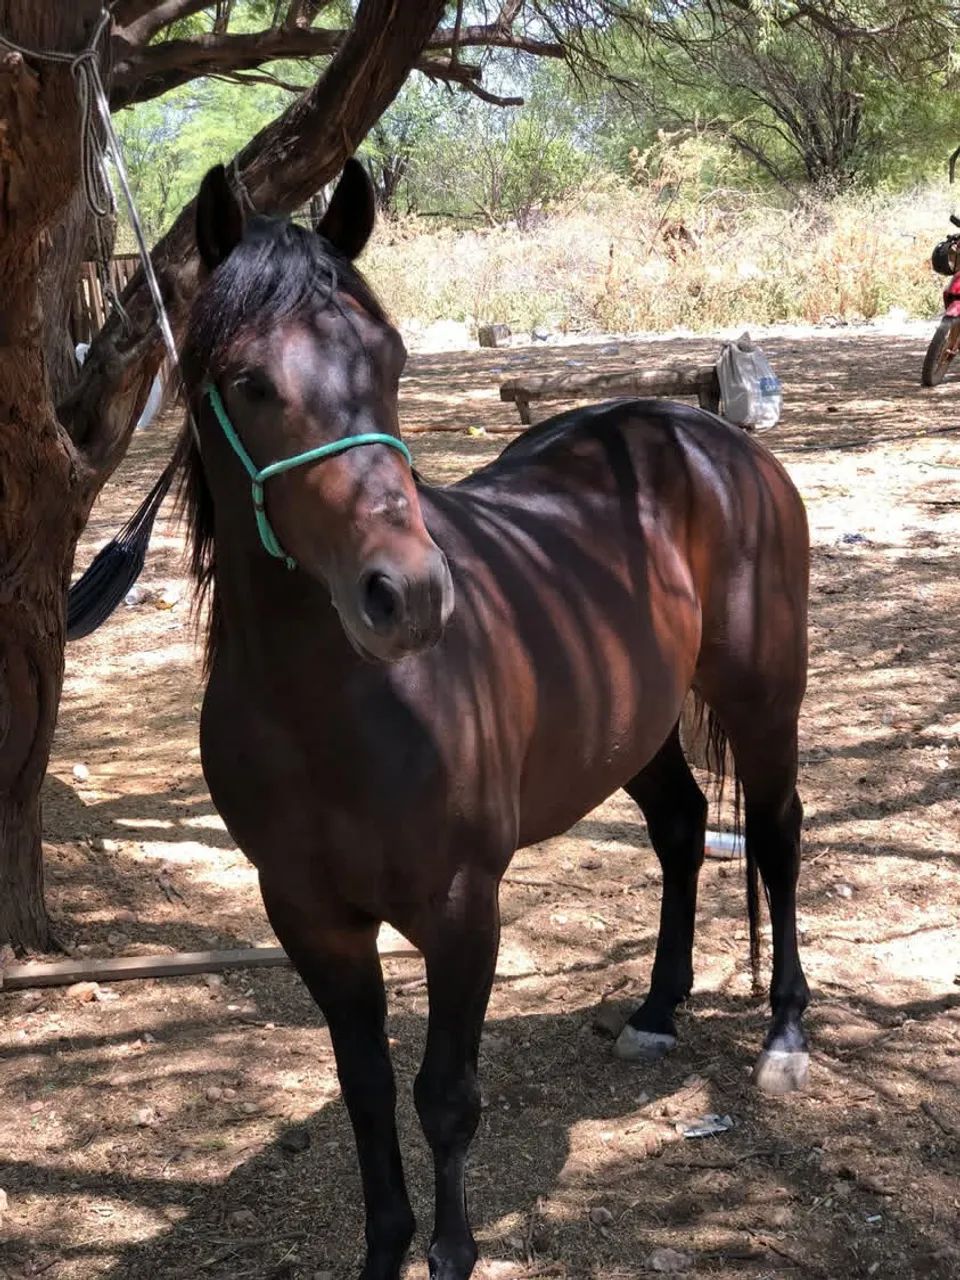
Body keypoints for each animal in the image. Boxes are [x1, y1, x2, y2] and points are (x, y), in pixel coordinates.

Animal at [176, 157, 811, 1280]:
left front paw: (452, 1252)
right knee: (684, 827)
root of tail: (709, 437)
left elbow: (445, 1097)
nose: (410, 596)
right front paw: (385, 1251)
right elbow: (367, 1093)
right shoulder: (308, 918)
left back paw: (784, 1034)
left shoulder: (463, 906)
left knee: (776, 836)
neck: (327, 714)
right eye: (250, 380)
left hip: (762, 698)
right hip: (636, 728)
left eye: (388, 362)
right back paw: (657, 1011)